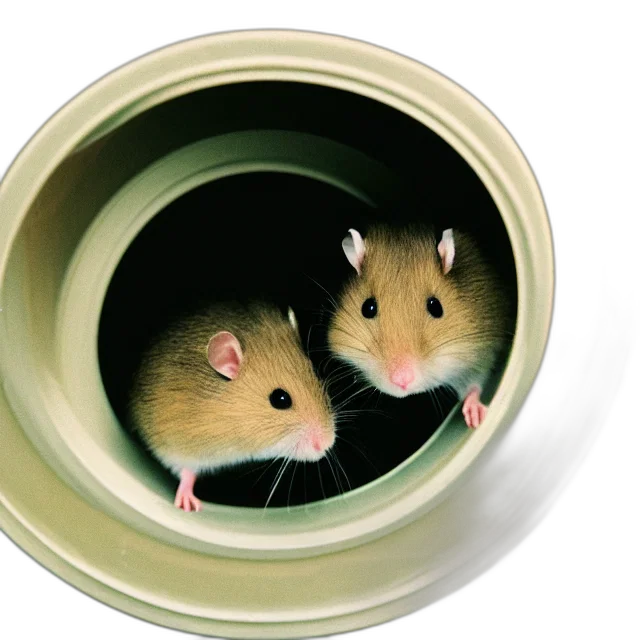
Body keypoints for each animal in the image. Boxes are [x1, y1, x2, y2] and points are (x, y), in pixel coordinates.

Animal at [128, 301, 336, 512]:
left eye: (317, 375)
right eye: (280, 399)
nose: (327, 444)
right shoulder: (173, 443)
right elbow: (187, 472)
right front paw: (188, 505)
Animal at [327, 224, 513, 429]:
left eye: (436, 306)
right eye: (368, 307)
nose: (402, 381)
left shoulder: (480, 351)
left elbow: (475, 383)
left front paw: (476, 419)